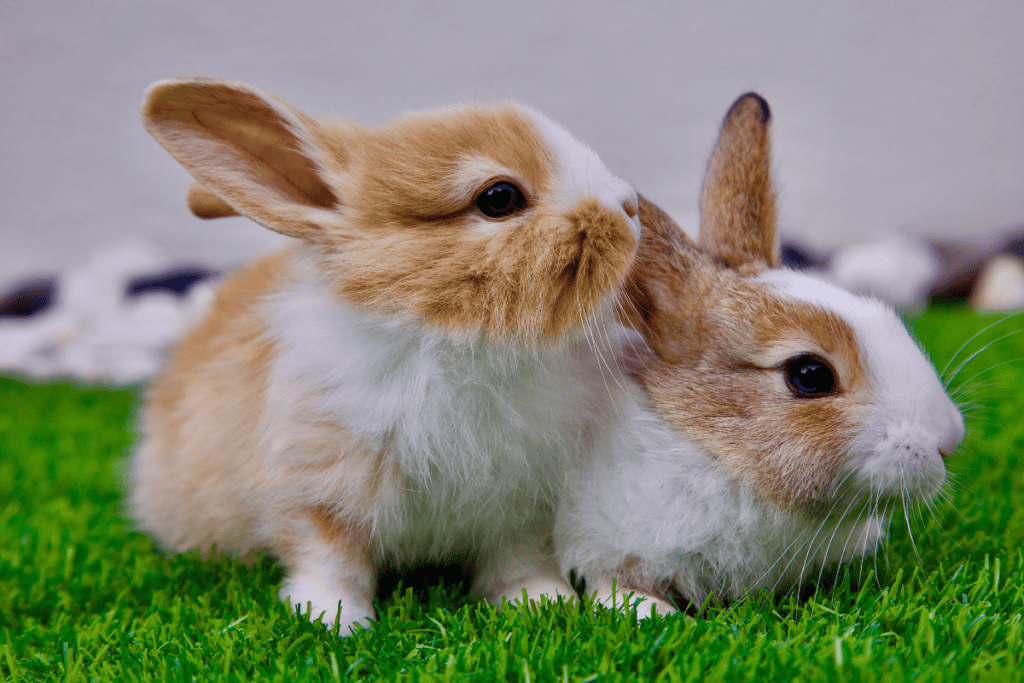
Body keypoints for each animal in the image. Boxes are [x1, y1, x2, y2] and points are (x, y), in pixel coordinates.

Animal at [129, 77, 642, 635]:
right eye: (499, 197)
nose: (630, 206)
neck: (454, 342)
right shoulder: (318, 493)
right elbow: (329, 561)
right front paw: (333, 621)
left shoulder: (521, 506)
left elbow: (515, 560)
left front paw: (542, 602)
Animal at [554, 93, 966, 617]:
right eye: (809, 375)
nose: (949, 439)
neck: (711, 454)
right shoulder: (600, 545)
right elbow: (616, 588)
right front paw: (654, 617)